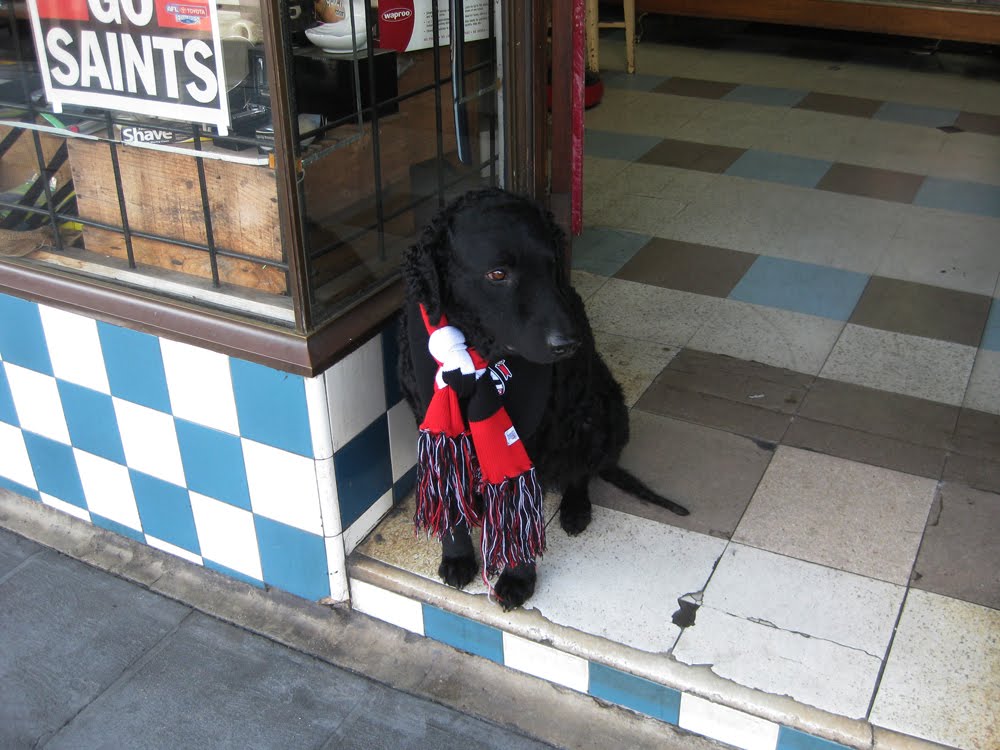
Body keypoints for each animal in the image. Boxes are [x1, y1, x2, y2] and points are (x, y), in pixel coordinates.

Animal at [398, 188, 688, 612]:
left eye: (552, 265)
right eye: (498, 274)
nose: (569, 343)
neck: (477, 357)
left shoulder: (529, 438)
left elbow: (519, 512)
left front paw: (518, 578)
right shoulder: (432, 422)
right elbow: (450, 495)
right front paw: (457, 555)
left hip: (595, 413)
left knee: (581, 471)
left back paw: (575, 508)